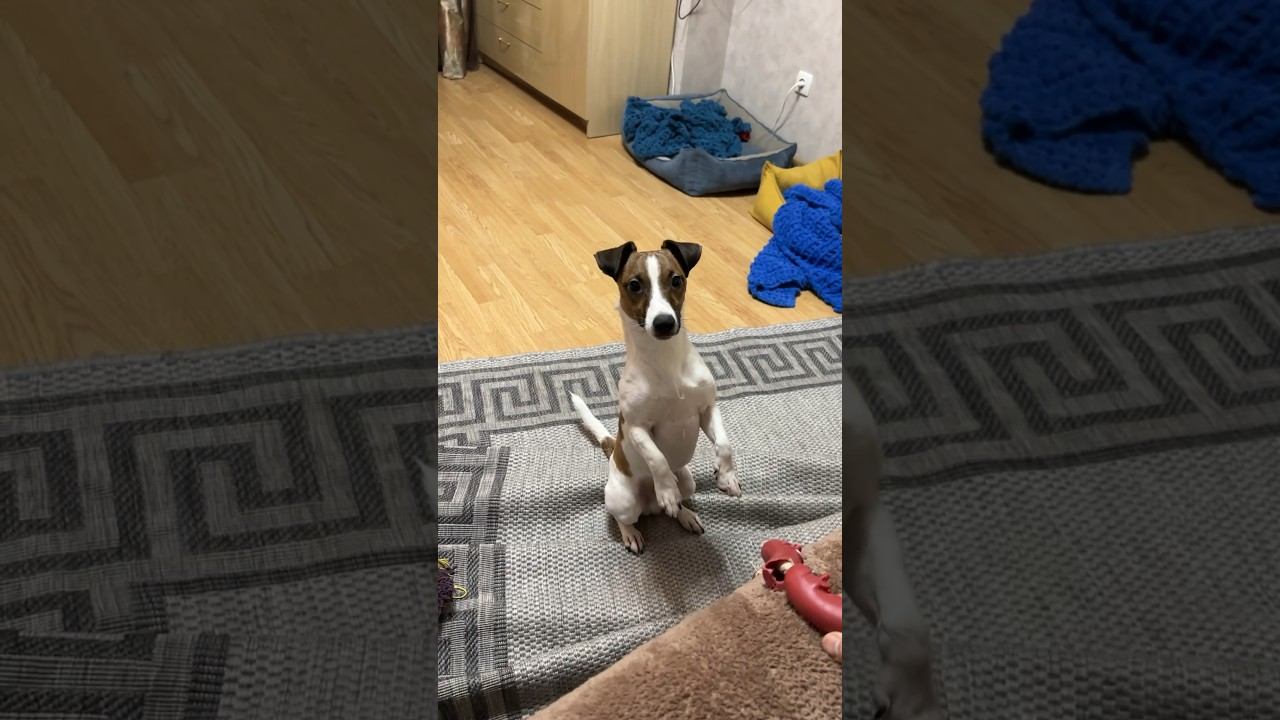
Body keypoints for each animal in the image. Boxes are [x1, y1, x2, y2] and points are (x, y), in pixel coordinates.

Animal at [569, 240, 742, 554]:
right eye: (634, 285)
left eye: (676, 280)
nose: (664, 323)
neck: (665, 361)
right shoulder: (637, 427)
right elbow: (657, 458)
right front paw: (666, 491)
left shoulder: (707, 409)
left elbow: (724, 444)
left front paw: (726, 476)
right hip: (623, 499)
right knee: (623, 517)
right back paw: (634, 531)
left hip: (688, 481)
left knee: (675, 503)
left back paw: (685, 515)